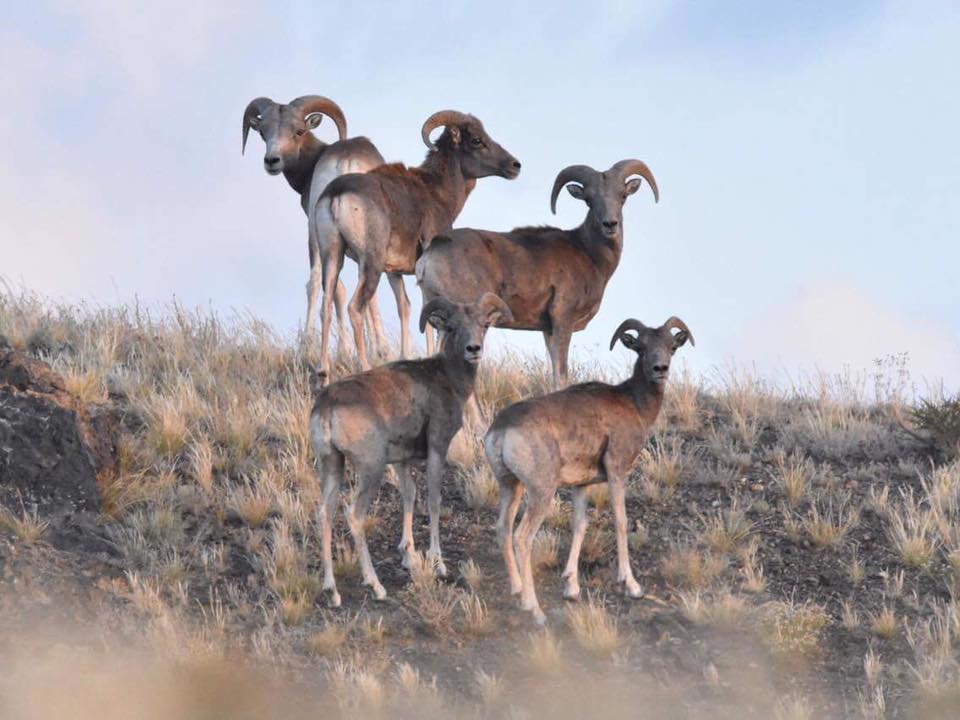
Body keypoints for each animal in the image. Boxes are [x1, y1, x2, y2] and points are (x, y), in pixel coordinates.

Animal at [244, 96, 390, 352]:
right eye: (263, 132)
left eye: (298, 131)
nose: (272, 161)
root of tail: (345, 165)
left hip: (317, 231)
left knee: (316, 283)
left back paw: (309, 344)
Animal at [312, 290, 512, 604]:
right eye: (451, 326)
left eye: (484, 325)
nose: (473, 349)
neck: (447, 378)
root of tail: (327, 405)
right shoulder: (437, 448)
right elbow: (433, 501)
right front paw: (438, 564)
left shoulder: (402, 461)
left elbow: (409, 495)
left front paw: (409, 557)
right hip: (370, 468)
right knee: (354, 516)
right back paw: (376, 586)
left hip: (332, 464)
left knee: (325, 514)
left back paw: (332, 592)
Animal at [316, 109, 520, 380]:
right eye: (477, 140)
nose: (515, 165)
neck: (438, 194)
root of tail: (337, 195)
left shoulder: (394, 273)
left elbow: (405, 308)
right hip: (369, 264)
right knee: (354, 308)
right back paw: (364, 368)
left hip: (332, 257)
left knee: (326, 306)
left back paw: (322, 373)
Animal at [416, 160, 656, 388]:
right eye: (589, 199)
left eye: (622, 196)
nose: (610, 224)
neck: (589, 254)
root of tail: (430, 255)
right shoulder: (562, 320)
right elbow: (561, 374)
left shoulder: (547, 330)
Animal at [484, 316, 692, 624]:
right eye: (641, 347)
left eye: (671, 347)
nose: (660, 370)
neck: (635, 404)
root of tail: (501, 430)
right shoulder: (617, 471)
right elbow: (620, 521)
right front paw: (632, 586)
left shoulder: (581, 485)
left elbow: (580, 525)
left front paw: (571, 588)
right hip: (541, 491)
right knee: (522, 538)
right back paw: (534, 610)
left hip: (511, 486)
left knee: (503, 528)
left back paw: (517, 590)